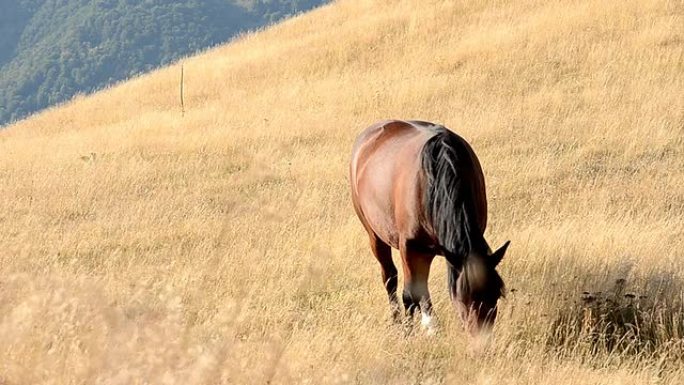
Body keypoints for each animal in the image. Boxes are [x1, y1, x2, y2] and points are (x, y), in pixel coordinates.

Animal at [350, 119, 510, 336]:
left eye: (495, 295)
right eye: (462, 299)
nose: (481, 339)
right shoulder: (410, 248)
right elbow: (409, 294)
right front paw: (412, 331)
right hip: (375, 235)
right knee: (390, 277)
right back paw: (398, 320)